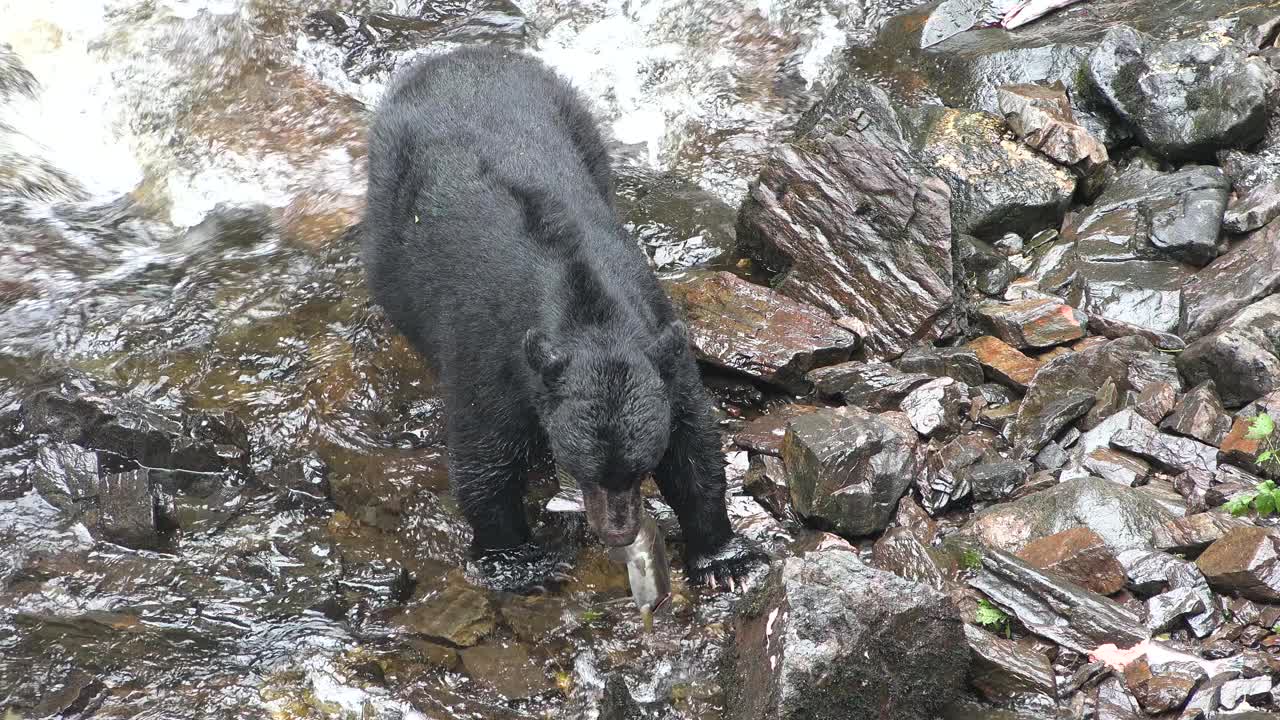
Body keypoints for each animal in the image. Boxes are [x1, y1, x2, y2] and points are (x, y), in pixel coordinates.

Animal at [360, 47, 762, 591]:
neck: (584, 306)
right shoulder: (492, 354)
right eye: (587, 469)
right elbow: (483, 456)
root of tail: (459, 54)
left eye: (638, 467)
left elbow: (692, 440)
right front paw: (517, 559)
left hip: (582, 129)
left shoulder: (660, 339)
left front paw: (722, 557)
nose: (619, 532)